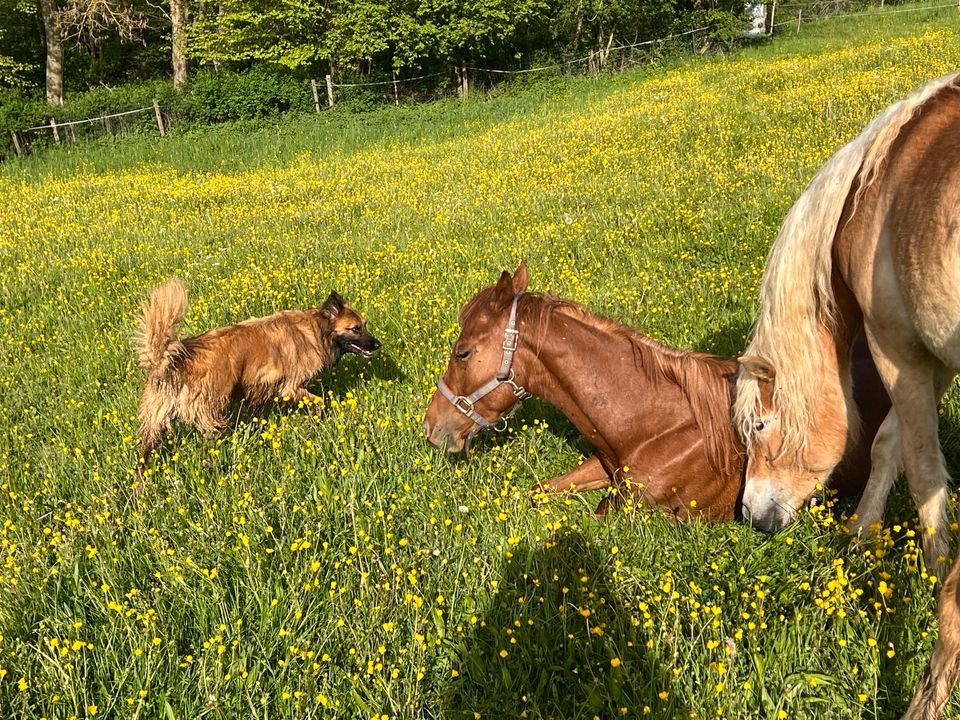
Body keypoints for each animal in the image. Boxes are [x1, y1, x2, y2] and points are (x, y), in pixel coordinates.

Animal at [136, 278, 382, 472]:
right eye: (356, 328)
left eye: (364, 325)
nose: (378, 344)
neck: (316, 331)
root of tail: (175, 359)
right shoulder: (290, 387)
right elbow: (320, 402)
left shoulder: (262, 391)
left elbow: (258, 418)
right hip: (212, 412)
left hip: (156, 422)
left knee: (143, 458)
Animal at [736, 74, 960, 720]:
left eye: (759, 427)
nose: (752, 516)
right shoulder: (931, 358)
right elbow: (887, 446)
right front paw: (861, 536)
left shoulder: (898, 352)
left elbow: (922, 468)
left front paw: (932, 567)